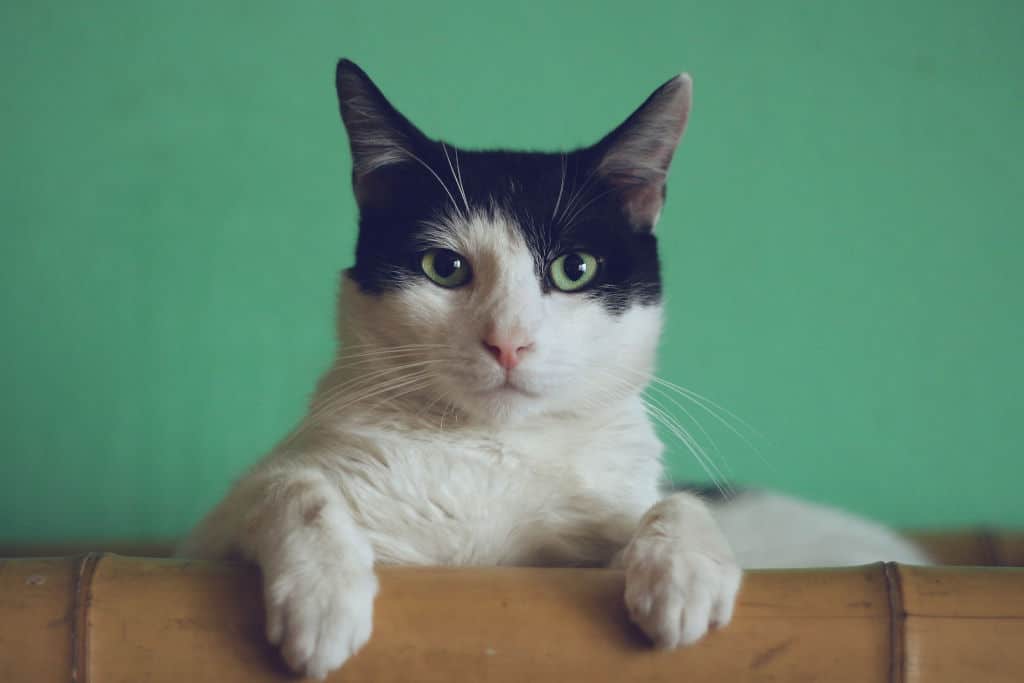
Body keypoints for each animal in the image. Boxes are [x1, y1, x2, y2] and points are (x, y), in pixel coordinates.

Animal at [178, 58, 929, 679]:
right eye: (443, 267)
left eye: (575, 269)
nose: (508, 342)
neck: (492, 453)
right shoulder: (205, 540)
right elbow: (292, 486)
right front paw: (324, 598)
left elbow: (669, 502)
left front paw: (683, 572)